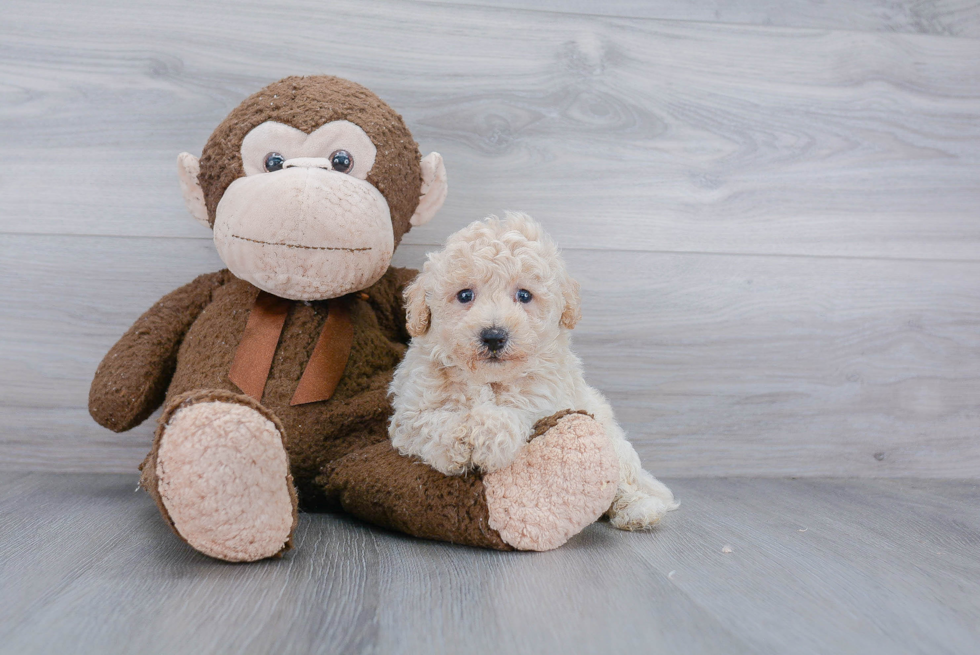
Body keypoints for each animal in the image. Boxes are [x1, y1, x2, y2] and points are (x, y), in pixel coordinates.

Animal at [386, 213, 676, 532]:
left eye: (524, 295)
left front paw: (489, 439)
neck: (489, 380)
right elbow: (434, 423)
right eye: (464, 295)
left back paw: (638, 509)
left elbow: (514, 416)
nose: (494, 336)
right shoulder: (410, 414)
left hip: (614, 442)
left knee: (622, 480)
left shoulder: (543, 403)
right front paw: (463, 440)